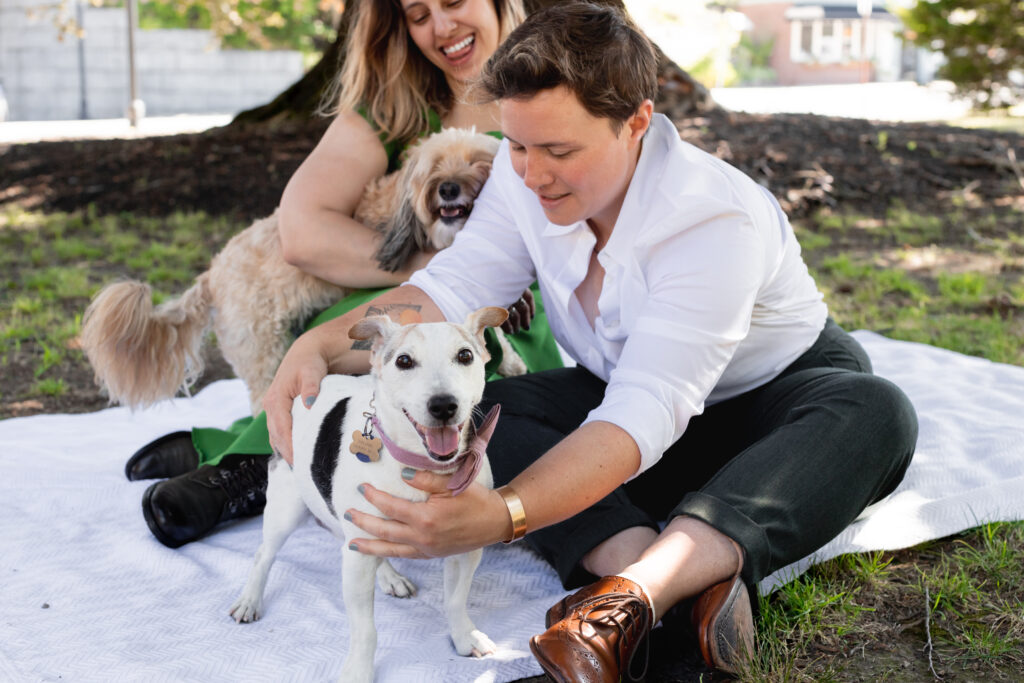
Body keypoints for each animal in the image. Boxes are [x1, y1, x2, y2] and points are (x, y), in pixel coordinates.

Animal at [79, 129, 524, 417]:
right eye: (435, 167)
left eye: (479, 164)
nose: (447, 188)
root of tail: (212, 273)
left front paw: (509, 360)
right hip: (261, 348)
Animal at [229, 307, 507, 679]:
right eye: (404, 361)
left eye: (465, 356)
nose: (443, 405)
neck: (419, 466)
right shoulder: (357, 561)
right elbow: (365, 630)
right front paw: (359, 671)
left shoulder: (466, 547)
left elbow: (455, 600)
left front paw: (465, 637)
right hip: (286, 508)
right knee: (264, 554)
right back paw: (250, 599)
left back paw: (389, 575)